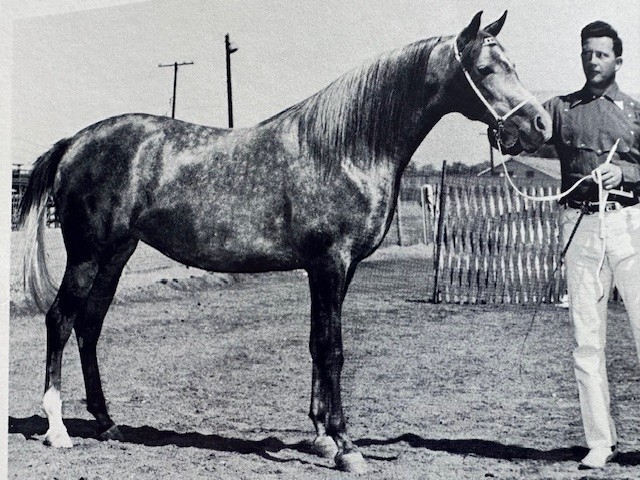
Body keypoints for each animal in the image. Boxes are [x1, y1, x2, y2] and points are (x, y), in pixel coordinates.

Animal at [18, 11, 551, 472]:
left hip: (117, 254)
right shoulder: (330, 263)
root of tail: (74, 143)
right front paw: (346, 447)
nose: (541, 125)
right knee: (60, 319)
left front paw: (320, 437)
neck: (345, 149)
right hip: (87, 254)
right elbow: (332, 348)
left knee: (89, 325)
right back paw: (57, 429)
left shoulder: (334, 269)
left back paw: (107, 423)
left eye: (513, 64)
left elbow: (317, 343)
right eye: (484, 68)